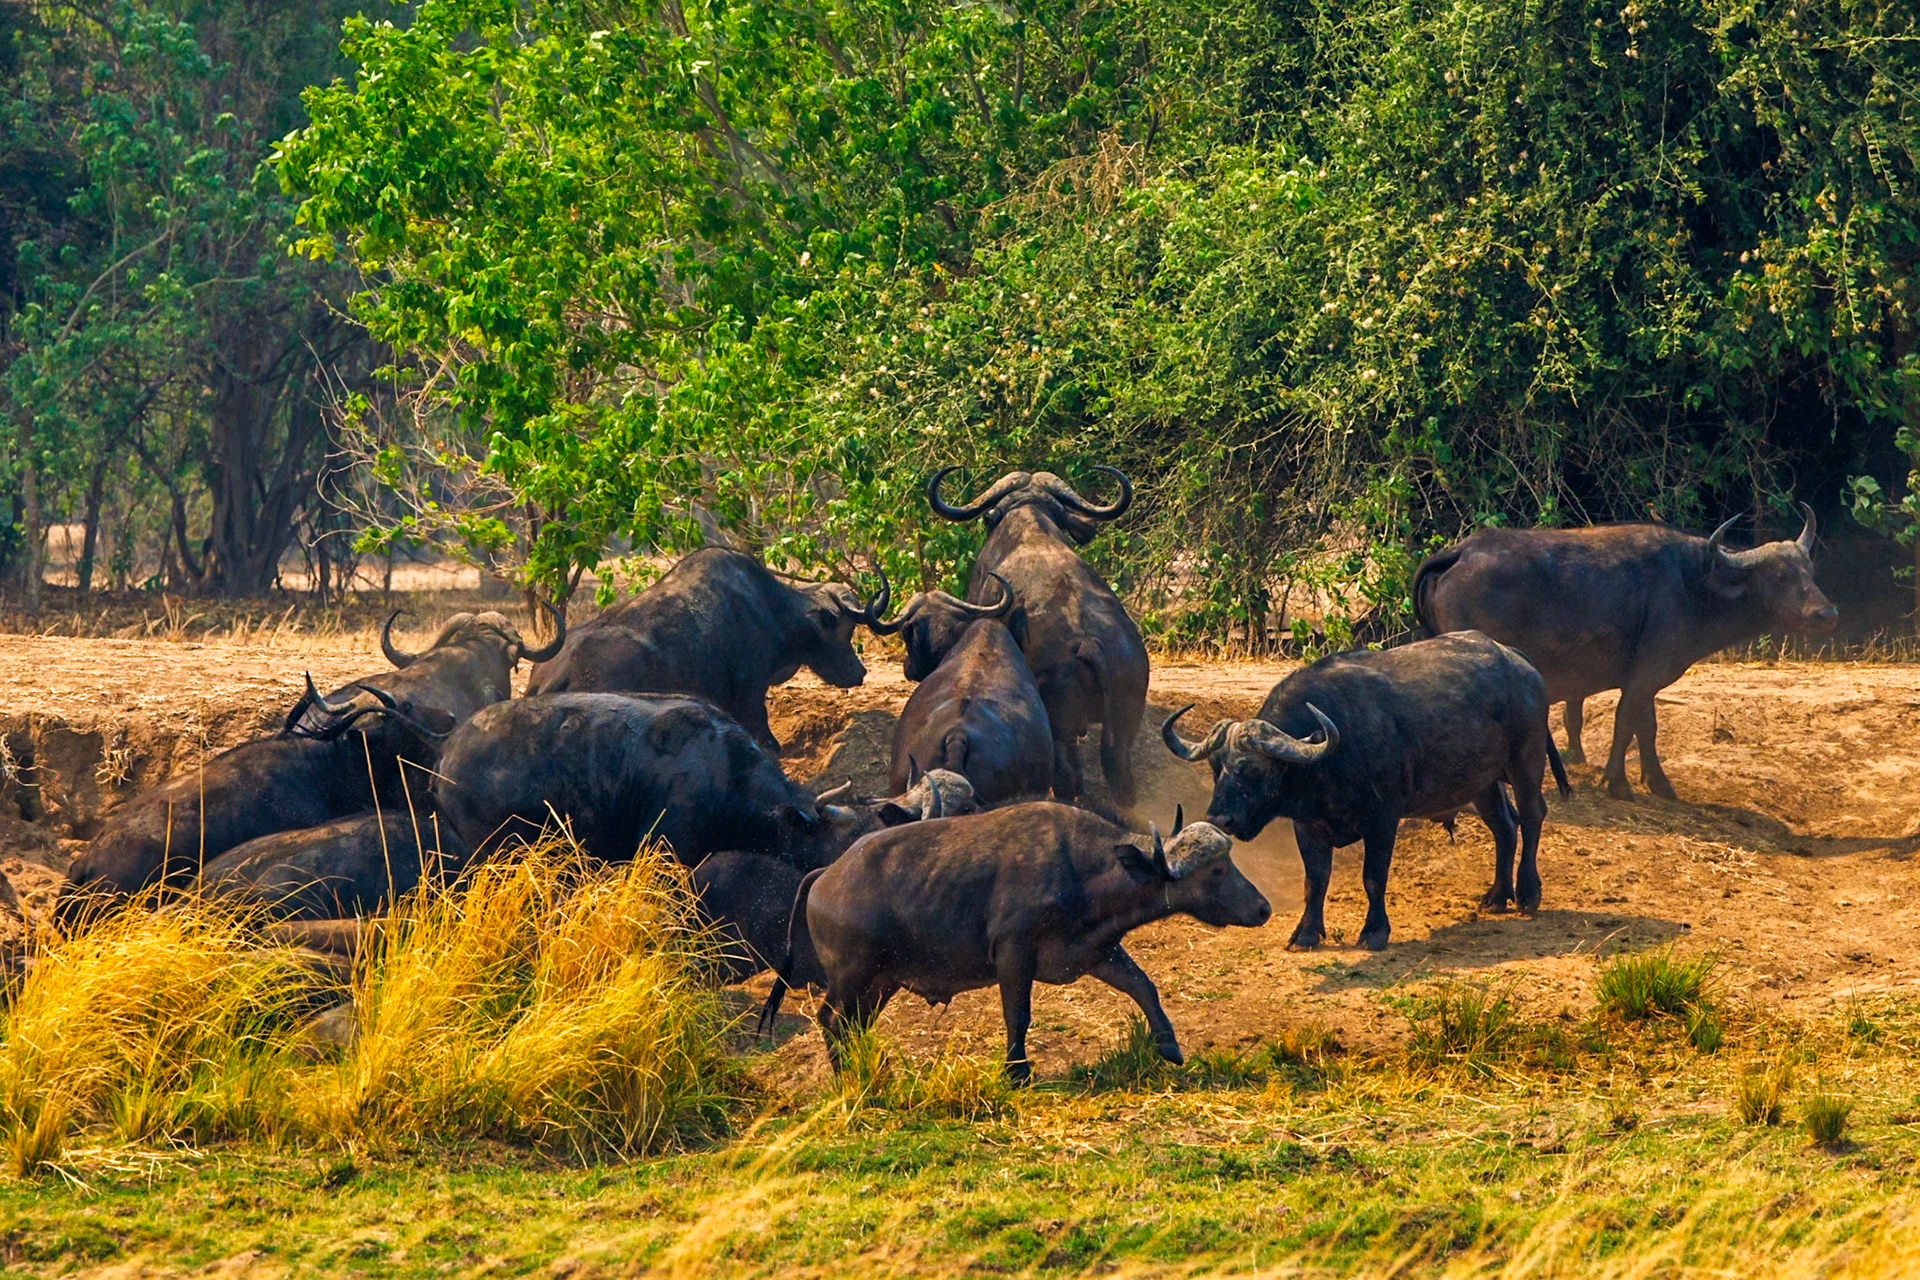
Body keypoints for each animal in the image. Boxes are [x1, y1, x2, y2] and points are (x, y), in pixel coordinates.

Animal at [759, 802, 1270, 1082]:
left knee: (855, 1024)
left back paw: (873, 1069)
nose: (1263, 908)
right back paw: (848, 1075)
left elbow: (1144, 986)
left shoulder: (1095, 951)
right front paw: (1017, 1071)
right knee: (830, 1018)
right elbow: (1017, 1015)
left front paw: (1169, 1046)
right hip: (852, 973)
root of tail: (827, 874)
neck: (1083, 868)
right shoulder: (1013, 954)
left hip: (882, 981)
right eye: (1216, 870)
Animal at [1163, 631, 1570, 952]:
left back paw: (1528, 894)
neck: (1330, 757)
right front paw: (1306, 934)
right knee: (1504, 826)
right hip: (1482, 782)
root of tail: (1518, 661)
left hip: (1526, 760)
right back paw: (1497, 897)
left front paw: (1374, 932)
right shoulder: (1307, 827)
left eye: (1253, 770)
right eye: (1216, 768)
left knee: (1532, 815)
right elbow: (1314, 881)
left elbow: (1373, 877)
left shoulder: (1382, 820)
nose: (1219, 818)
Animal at [1412, 507, 1837, 799]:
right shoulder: (1645, 673)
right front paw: (1617, 783)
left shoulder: (1647, 677)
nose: (1827, 614)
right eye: (1781, 576)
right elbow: (1625, 723)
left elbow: (1646, 727)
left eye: (1810, 571)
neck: (1695, 582)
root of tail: (1462, 551)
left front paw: (1657, 782)